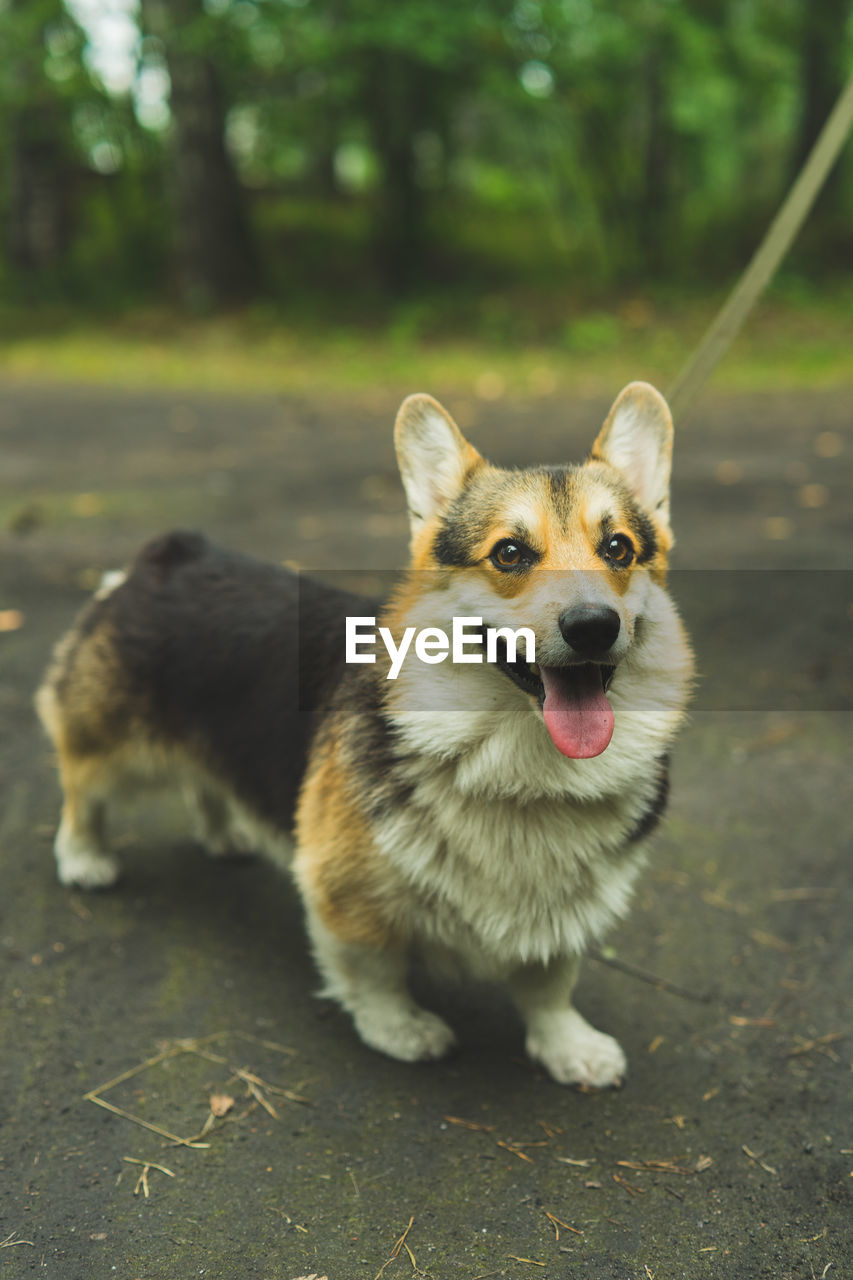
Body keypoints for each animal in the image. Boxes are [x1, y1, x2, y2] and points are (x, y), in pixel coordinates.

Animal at [38, 381, 691, 1090]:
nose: (593, 626)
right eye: (510, 553)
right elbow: (374, 970)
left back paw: (224, 834)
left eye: (618, 549)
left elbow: (548, 983)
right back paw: (84, 859)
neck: (518, 766)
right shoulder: (343, 892)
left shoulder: (563, 913)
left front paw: (570, 1046)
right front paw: (400, 1029)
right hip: (109, 746)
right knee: (82, 791)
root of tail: (169, 552)